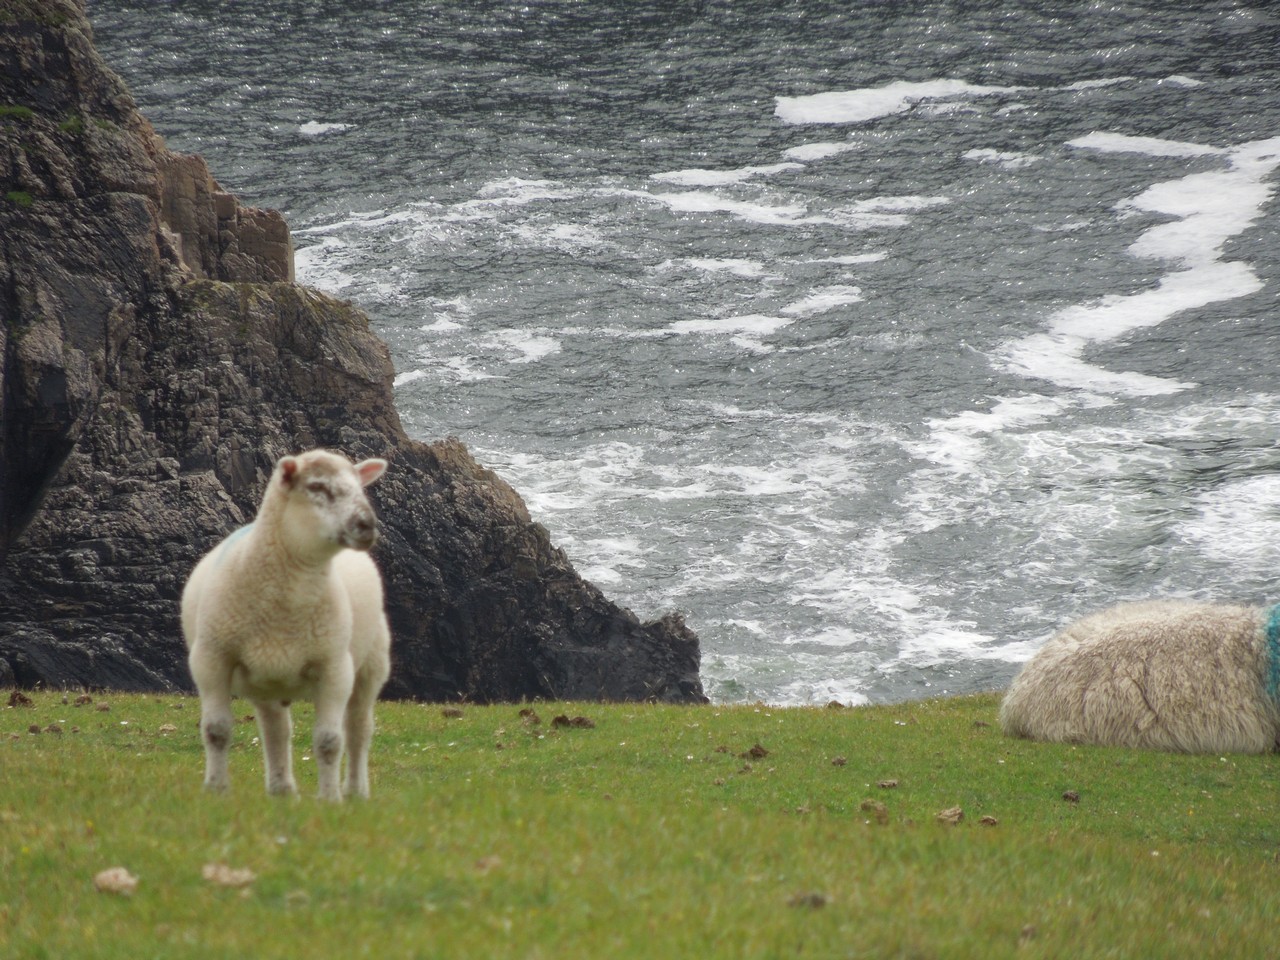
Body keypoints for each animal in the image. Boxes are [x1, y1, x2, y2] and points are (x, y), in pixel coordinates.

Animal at [181, 449, 392, 800]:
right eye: (317, 487)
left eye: (359, 487)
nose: (367, 525)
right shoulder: (211, 659)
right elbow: (216, 731)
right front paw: (216, 790)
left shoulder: (335, 666)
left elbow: (330, 741)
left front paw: (329, 799)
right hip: (265, 681)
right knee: (276, 730)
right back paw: (281, 790)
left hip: (372, 664)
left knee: (359, 728)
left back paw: (354, 791)